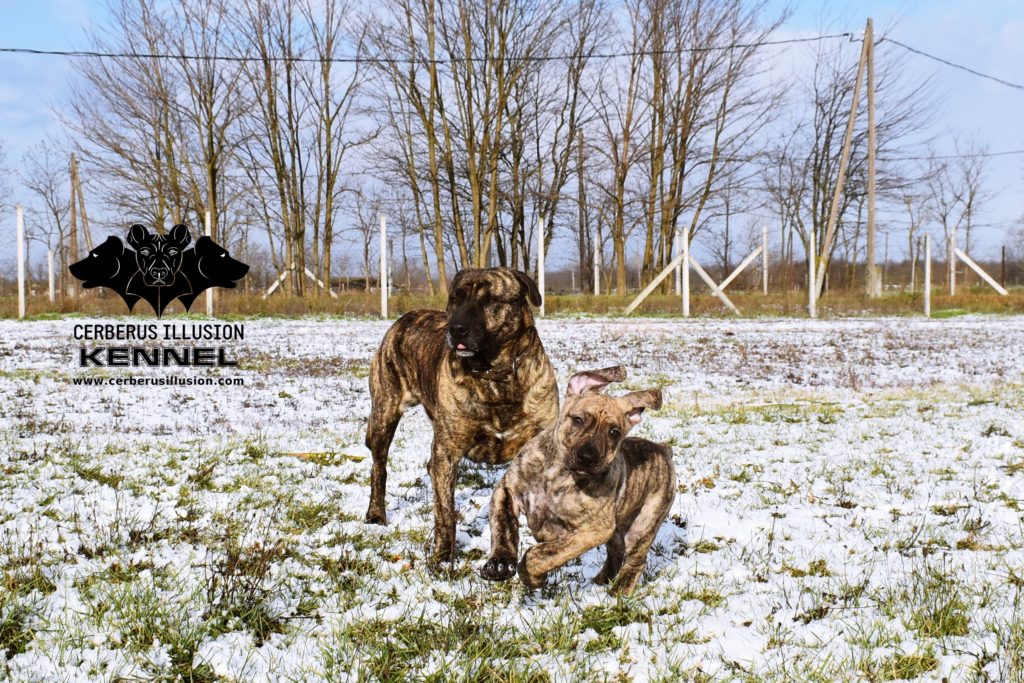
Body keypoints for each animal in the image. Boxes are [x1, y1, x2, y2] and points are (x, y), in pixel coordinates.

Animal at [366, 270, 561, 565]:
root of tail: (404, 319)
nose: (456, 328)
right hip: (384, 413)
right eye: (455, 299)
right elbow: (445, 511)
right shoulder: (448, 451)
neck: (496, 376)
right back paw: (376, 515)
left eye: (490, 299)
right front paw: (444, 556)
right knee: (380, 467)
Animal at [481, 366, 675, 593]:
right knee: (616, 553)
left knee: (637, 560)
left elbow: (543, 554)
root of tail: (663, 449)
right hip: (618, 531)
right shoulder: (507, 490)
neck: (559, 475)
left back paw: (618, 591)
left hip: (642, 526)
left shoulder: (593, 531)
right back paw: (601, 582)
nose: (588, 457)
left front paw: (533, 576)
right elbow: (504, 528)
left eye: (614, 432)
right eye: (578, 420)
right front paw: (500, 564)